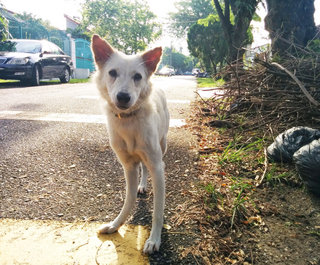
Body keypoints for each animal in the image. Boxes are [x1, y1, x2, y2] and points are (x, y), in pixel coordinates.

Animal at [90, 34, 170, 253]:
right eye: (112, 73)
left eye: (137, 77)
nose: (123, 97)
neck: (128, 121)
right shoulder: (128, 166)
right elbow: (129, 199)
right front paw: (115, 225)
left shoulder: (157, 166)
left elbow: (158, 209)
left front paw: (154, 239)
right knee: (143, 167)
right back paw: (142, 185)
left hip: (162, 145)